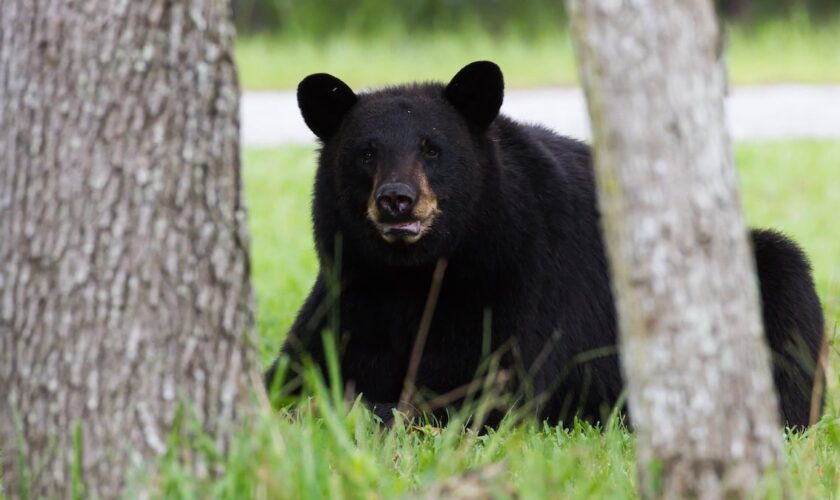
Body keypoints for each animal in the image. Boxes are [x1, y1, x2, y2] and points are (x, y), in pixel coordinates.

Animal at [266, 60, 824, 428]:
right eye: (366, 152)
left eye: (432, 148)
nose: (397, 200)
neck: (412, 276)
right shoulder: (351, 287)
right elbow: (291, 369)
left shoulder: (518, 281)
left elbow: (494, 390)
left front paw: (350, 410)